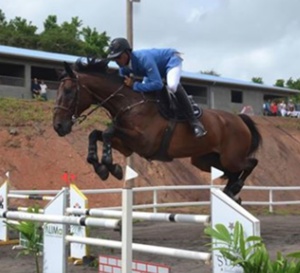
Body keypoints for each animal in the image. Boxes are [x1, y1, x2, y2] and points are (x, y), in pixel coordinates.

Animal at [52, 59, 262, 202]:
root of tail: (239, 119)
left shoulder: (144, 142)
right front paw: (103, 167)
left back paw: (235, 188)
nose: (58, 126)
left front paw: (108, 165)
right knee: (231, 171)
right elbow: (96, 134)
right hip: (204, 160)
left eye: (69, 91)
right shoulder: (127, 146)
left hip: (231, 157)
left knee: (250, 163)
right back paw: (231, 192)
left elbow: (107, 132)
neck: (129, 103)